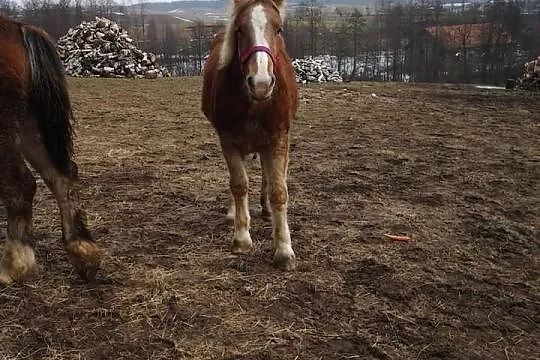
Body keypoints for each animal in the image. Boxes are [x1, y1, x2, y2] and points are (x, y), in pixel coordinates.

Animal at [0, 16, 100, 286]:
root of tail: (18, 28)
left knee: (21, 185)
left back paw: (15, 264)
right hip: (30, 125)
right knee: (61, 176)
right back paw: (82, 251)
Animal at [201, 0, 298, 270]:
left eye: (279, 29)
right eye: (239, 30)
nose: (261, 83)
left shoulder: (278, 140)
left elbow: (279, 191)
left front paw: (284, 250)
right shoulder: (228, 141)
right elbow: (239, 185)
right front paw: (242, 238)